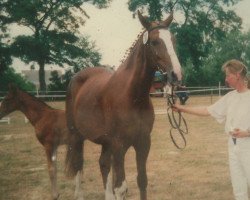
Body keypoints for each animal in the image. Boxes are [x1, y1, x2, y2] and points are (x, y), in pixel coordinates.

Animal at [64, 10, 182, 200]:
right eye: (155, 42)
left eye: (173, 40)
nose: (176, 74)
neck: (132, 97)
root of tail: (76, 78)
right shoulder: (119, 146)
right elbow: (121, 187)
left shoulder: (143, 143)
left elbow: (142, 181)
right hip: (76, 135)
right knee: (78, 164)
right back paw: (78, 193)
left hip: (105, 143)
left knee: (103, 164)